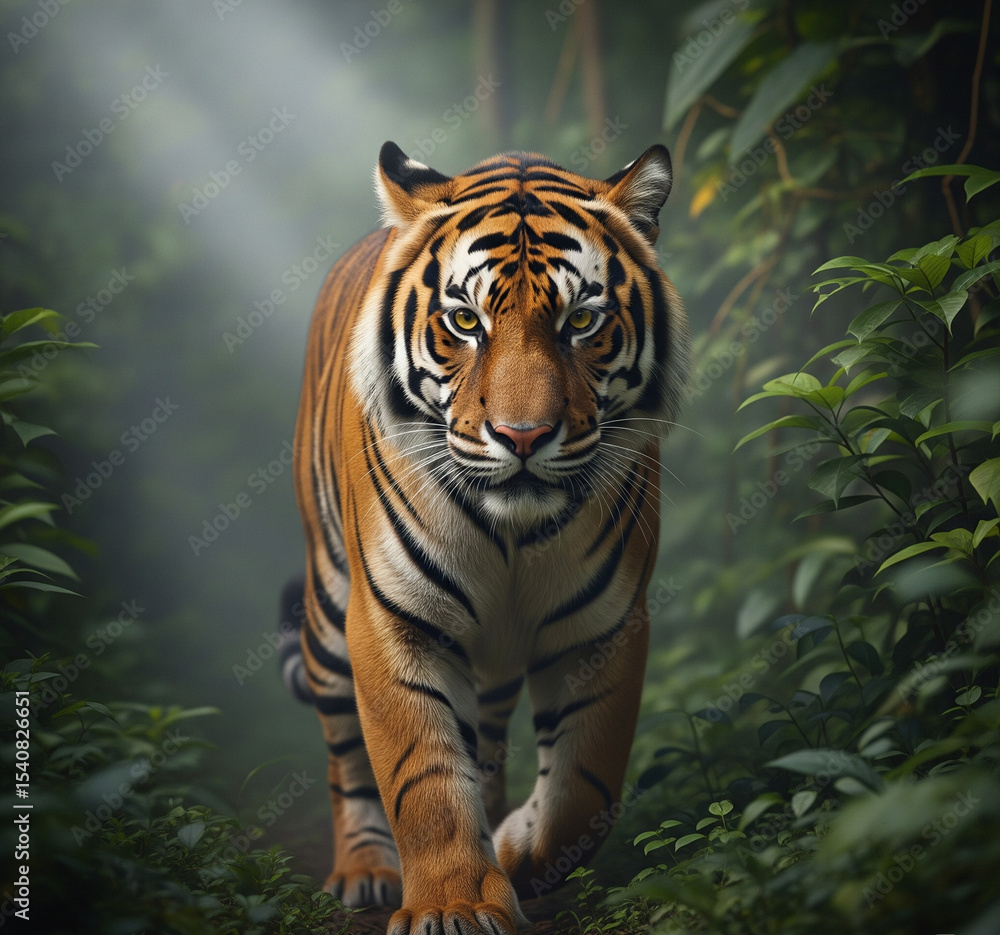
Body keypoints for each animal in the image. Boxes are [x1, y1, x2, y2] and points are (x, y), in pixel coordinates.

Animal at [282, 140, 690, 935]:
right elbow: (424, 778)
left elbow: (585, 787)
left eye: (581, 321)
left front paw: (517, 850)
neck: (512, 535)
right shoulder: (394, 619)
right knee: (345, 750)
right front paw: (455, 904)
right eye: (466, 322)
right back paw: (366, 868)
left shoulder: (605, 626)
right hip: (327, 609)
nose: (523, 436)